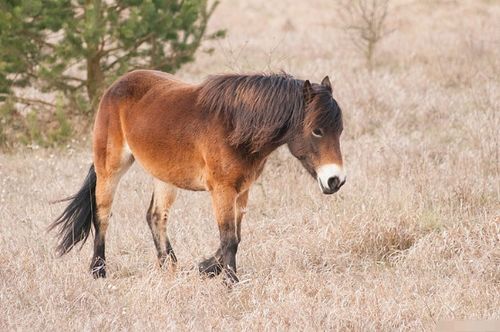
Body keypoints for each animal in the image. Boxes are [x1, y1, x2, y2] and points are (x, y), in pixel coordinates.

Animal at [51, 70, 348, 282]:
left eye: (340, 130)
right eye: (317, 130)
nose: (335, 180)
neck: (236, 126)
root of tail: (116, 86)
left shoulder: (242, 190)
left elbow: (236, 236)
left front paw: (207, 268)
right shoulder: (222, 190)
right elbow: (229, 238)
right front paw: (229, 281)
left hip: (165, 177)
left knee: (156, 217)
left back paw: (169, 268)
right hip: (110, 168)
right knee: (102, 214)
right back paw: (99, 271)